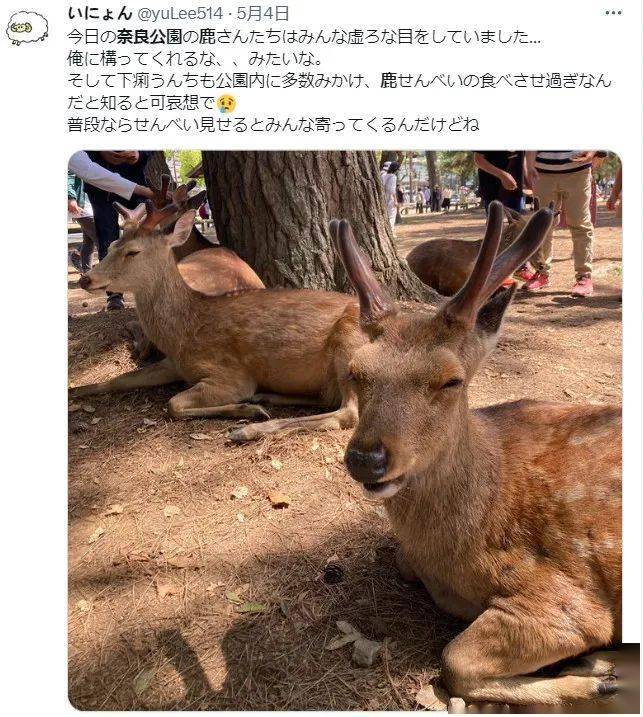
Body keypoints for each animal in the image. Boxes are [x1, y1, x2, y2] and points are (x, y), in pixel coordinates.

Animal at [334, 201, 621, 707]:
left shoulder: (569, 602)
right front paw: (593, 672)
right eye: (355, 371)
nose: (366, 459)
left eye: (451, 380)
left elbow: (454, 661)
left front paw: (595, 672)